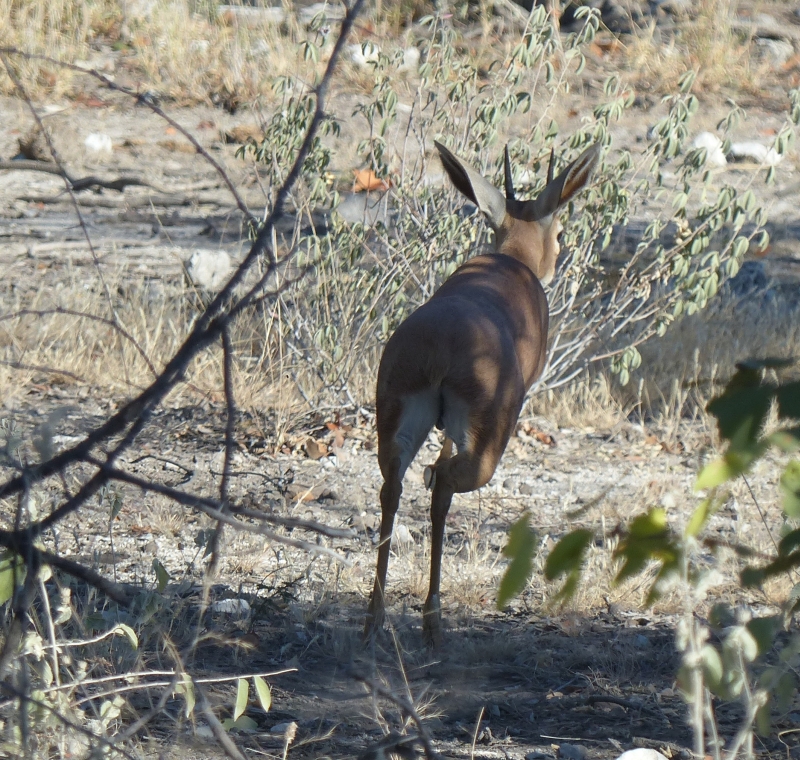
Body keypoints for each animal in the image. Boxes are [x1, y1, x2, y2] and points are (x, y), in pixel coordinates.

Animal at [364, 138, 600, 648]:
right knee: (440, 483)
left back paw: (375, 618)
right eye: (560, 230)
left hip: (395, 426)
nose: (556, 259)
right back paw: (433, 621)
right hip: (487, 444)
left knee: (394, 489)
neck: (511, 261)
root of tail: (440, 346)